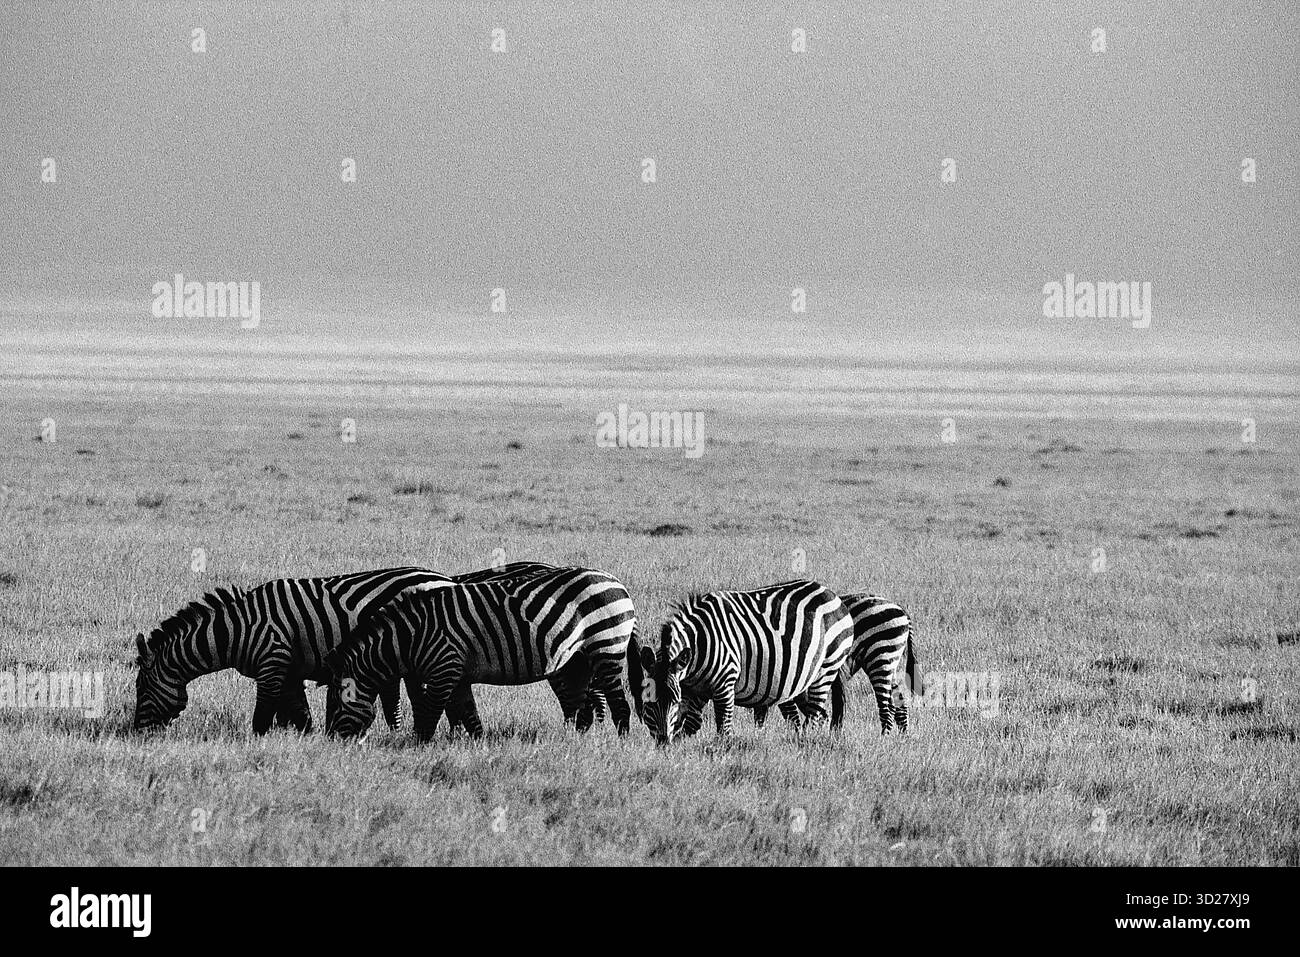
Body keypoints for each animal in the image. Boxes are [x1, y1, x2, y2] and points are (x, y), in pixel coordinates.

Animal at [132, 567, 449, 734]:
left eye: (141, 689)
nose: (136, 732)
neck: (236, 630)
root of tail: (445, 577)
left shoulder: (273, 661)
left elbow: (262, 717)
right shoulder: (290, 672)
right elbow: (301, 715)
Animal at [325, 565, 636, 740]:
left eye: (337, 703)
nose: (333, 742)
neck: (411, 637)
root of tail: (616, 582)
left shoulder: (445, 667)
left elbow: (429, 715)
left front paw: (416, 748)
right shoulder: (459, 676)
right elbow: (470, 715)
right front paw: (479, 746)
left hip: (606, 646)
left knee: (620, 704)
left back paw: (619, 743)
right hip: (578, 659)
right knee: (584, 709)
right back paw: (577, 744)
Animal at [633, 580, 853, 744]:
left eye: (674, 701)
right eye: (648, 703)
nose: (663, 743)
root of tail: (832, 594)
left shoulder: (724, 684)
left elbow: (723, 729)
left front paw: (721, 754)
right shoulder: (695, 689)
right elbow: (690, 725)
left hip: (826, 669)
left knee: (815, 715)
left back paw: (805, 743)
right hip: (804, 680)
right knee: (819, 714)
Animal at [837, 593, 920, 734]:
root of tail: (902, 610)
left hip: (880, 658)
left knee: (887, 710)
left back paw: (883, 738)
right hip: (887, 664)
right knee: (899, 704)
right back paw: (903, 736)